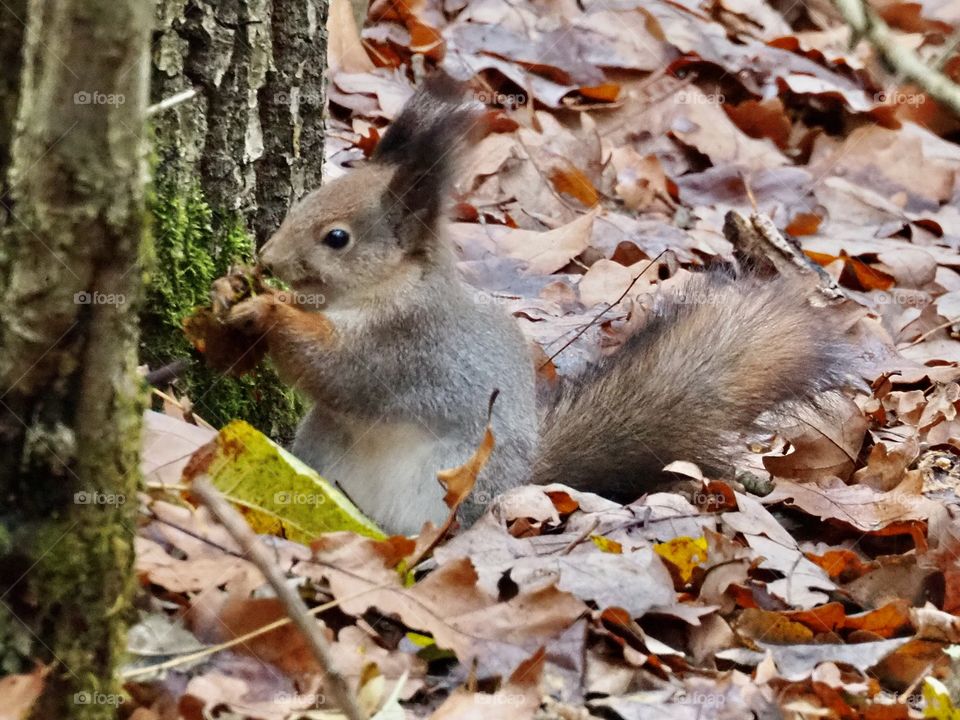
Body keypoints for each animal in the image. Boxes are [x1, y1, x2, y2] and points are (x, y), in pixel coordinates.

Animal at [224, 76, 852, 535]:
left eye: (337, 238)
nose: (268, 257)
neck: (380, 292)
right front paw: (234, 289)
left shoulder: (411, 345)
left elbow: (342, 372)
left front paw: (269, 311)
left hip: (451, 481)